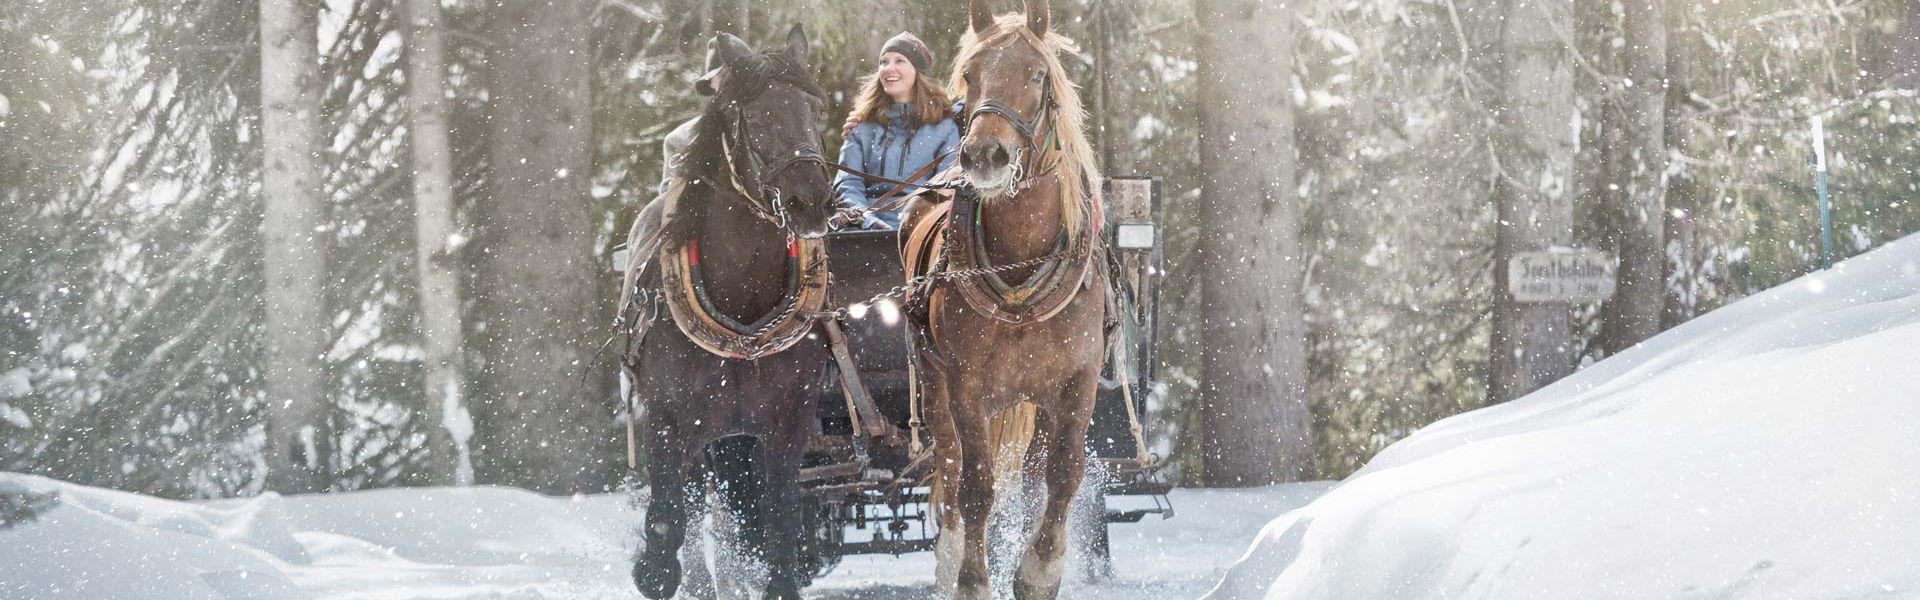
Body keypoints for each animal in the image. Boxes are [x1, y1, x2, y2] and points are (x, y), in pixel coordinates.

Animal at [622, 26, 833, 600]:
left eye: (816, 109)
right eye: (756, 116)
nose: (811, 203)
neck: (742, 300)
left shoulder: (787, 423)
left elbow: (779, 521)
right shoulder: (666, 422)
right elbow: (667, 525)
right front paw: (654, 570)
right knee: (696, 514)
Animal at [902, 2, 1113, 596]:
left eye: (1038, 75)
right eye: (970, 76)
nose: (984, 155)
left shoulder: (1078, 380)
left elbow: (1064, 474)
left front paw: (1039, 569)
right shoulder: (967, 384)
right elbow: (976, 485)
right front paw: (973, 579)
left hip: (1035, 398)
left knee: (1036, 475)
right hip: (935, 384)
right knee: (950, 466)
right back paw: (949, 560)